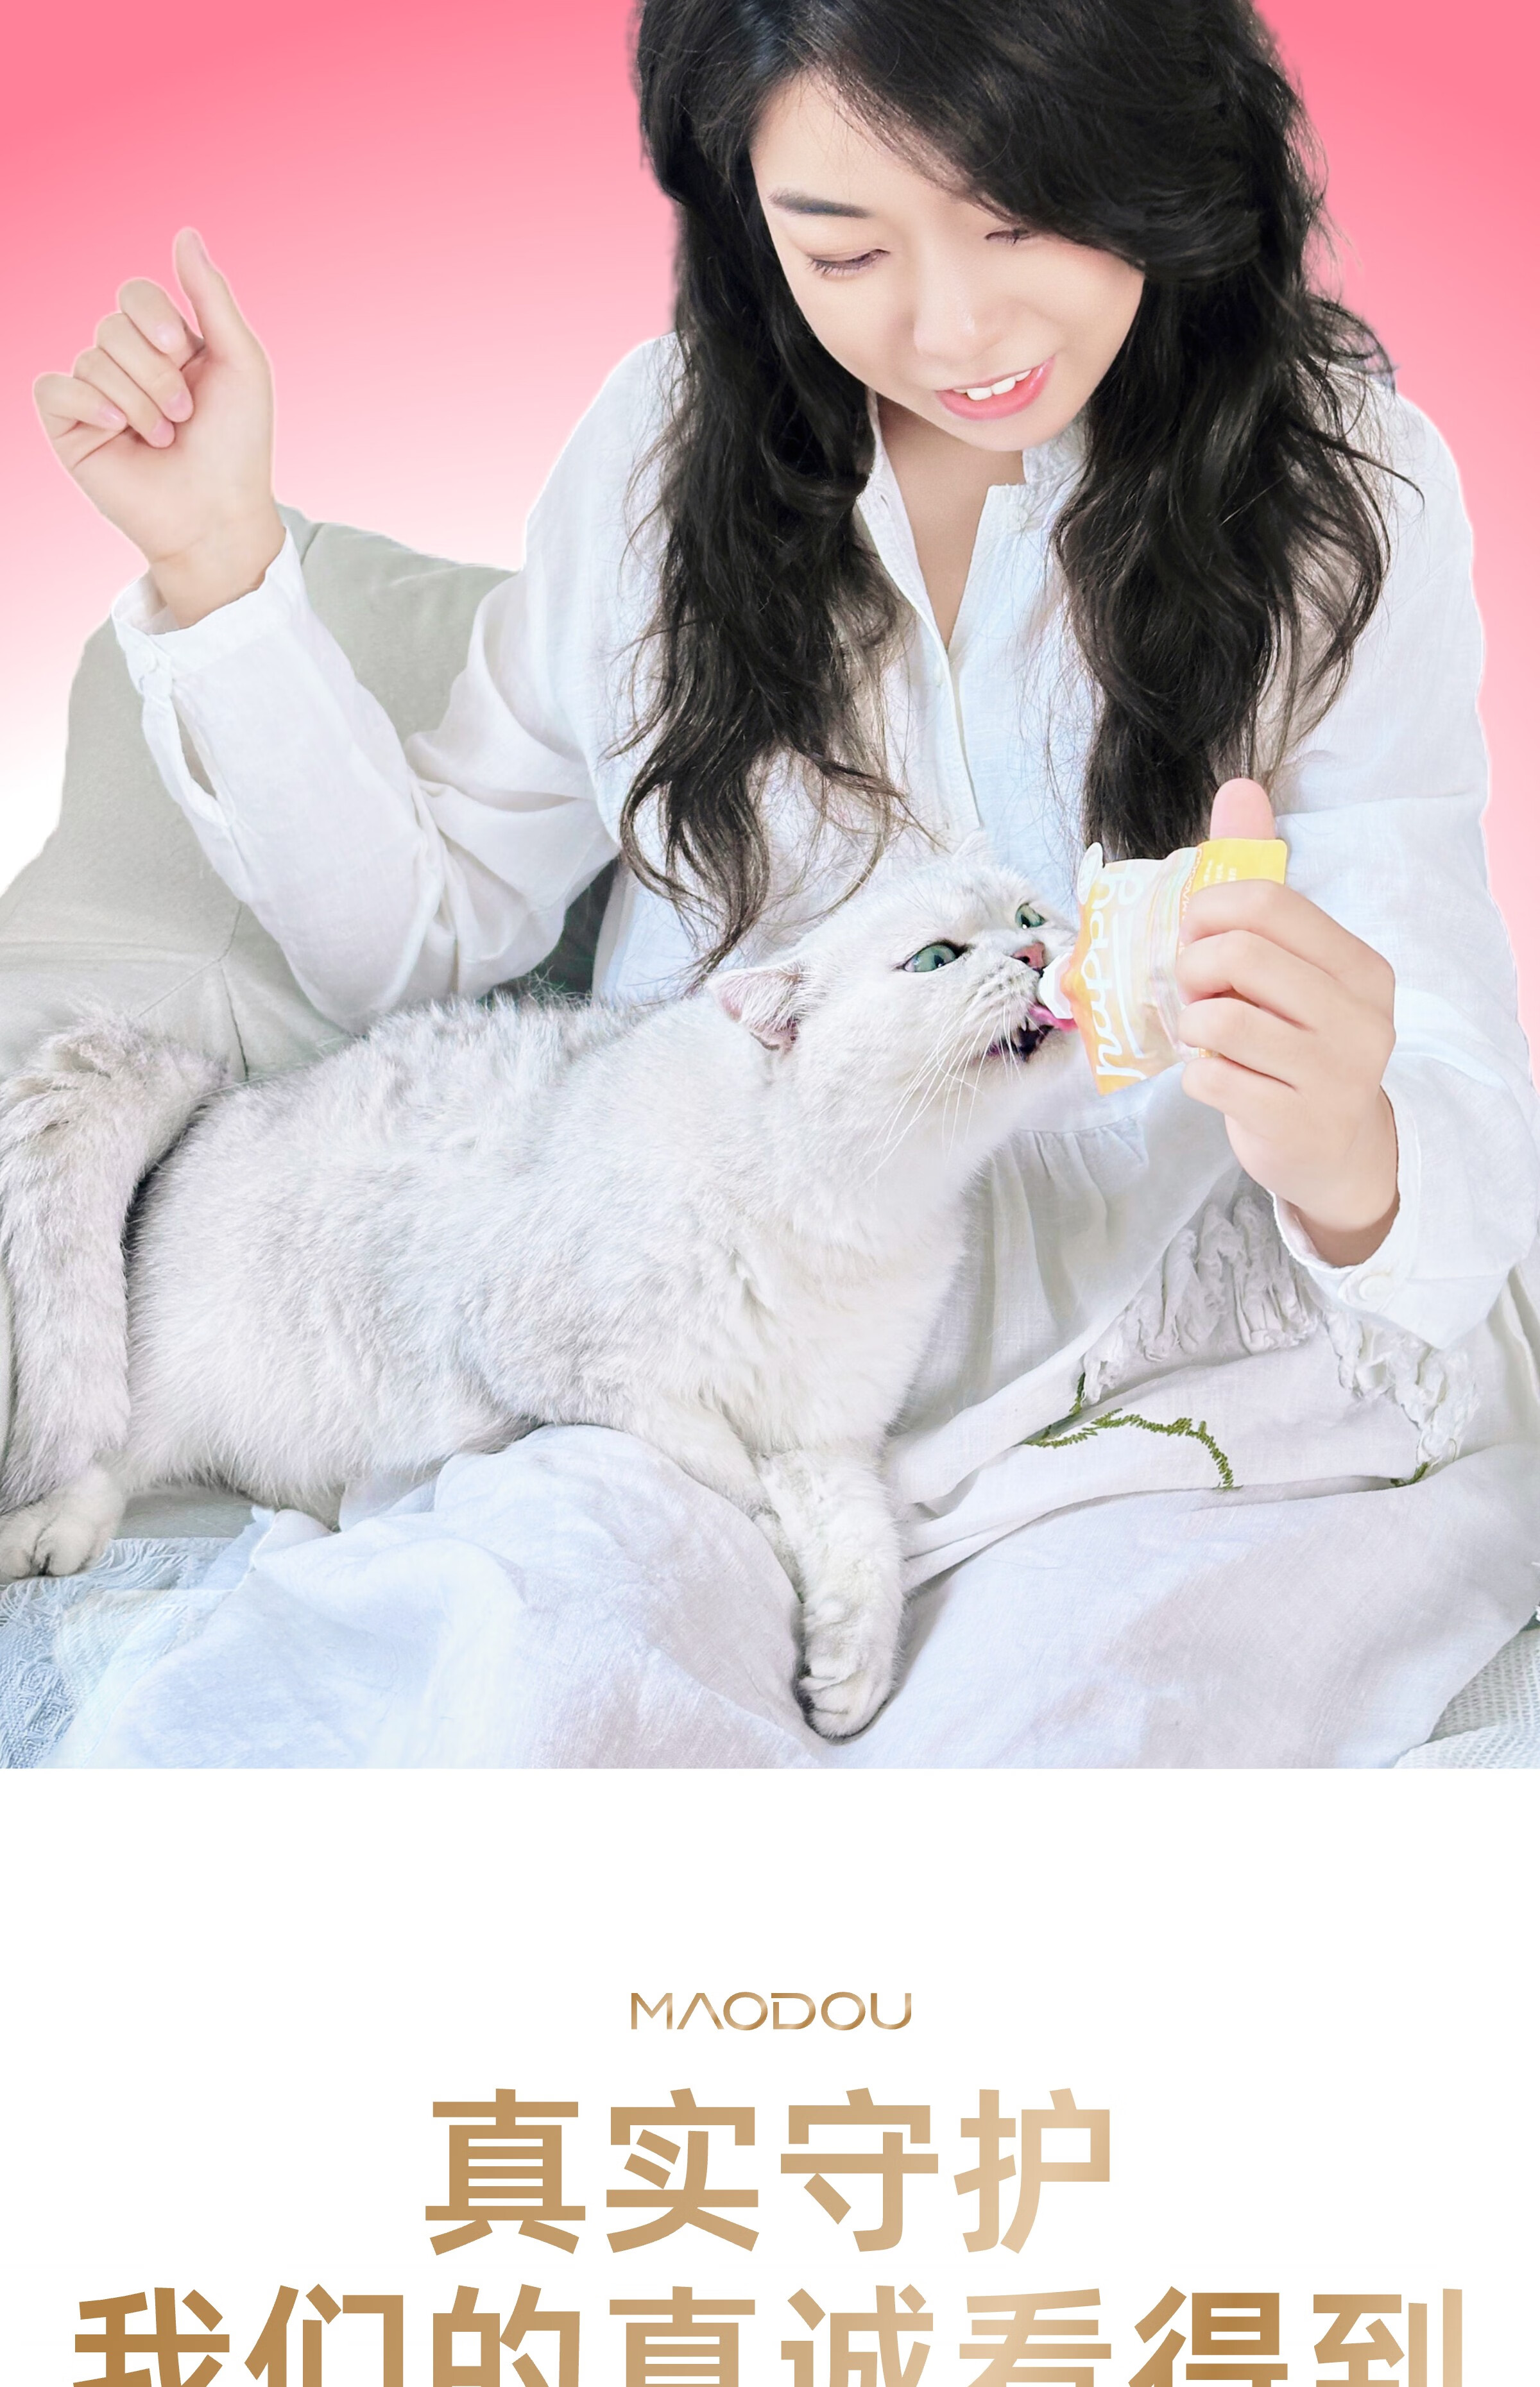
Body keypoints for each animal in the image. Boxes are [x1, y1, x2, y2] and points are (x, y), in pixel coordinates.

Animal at [0, 843, 1073, 1737]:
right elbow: (721, 1462)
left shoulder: (827, 1439)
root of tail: (220, 1092)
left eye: (1030, 913)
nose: (1037, 952)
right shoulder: (567, 1367)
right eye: (935, 959)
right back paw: (49, 1534)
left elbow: (863, 1542)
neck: (851, 1214)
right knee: (109, 1450)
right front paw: (770, 1528)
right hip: (171, 1374)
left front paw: (851, 1671)